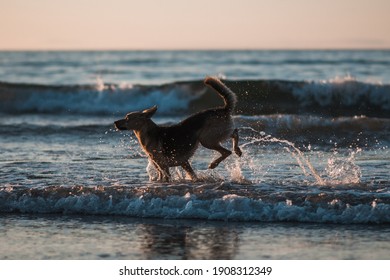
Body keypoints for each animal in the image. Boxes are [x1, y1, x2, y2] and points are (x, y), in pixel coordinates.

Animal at [113, 76, 241, 182]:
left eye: (127, 118)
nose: (114, 122)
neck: (148, 132)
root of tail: (223, 109)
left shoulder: (164, 166)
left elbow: (167, 177)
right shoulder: (182, 163)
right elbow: (189, 174)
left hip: (206, 139)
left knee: (227, 150)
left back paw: (214, 163)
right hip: (215, 135)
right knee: (234, 133)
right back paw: (237, 150)